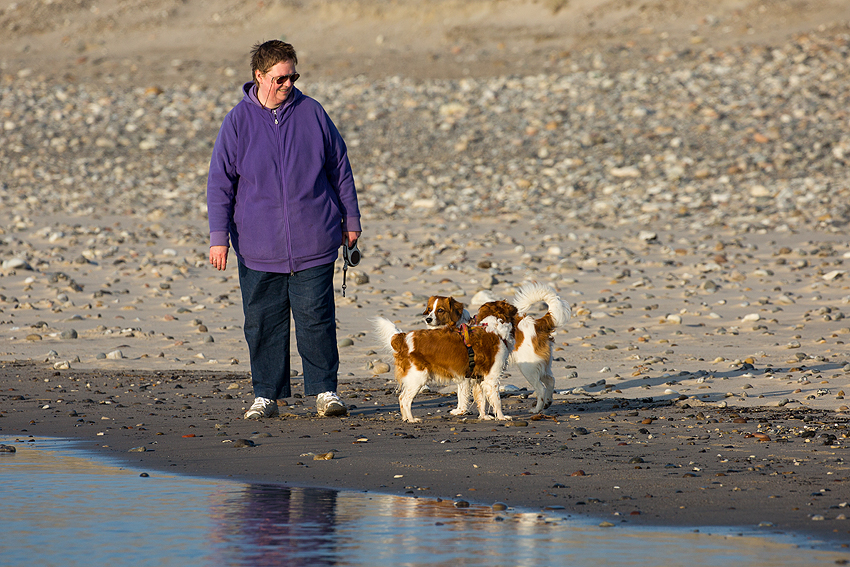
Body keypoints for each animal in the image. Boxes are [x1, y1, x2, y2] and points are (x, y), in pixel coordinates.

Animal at [374, 316, 512, 422]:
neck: (497, 332)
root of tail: (403, 338)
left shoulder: (478, 379)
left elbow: (480, 401)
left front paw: (484, 417)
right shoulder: (491, 379)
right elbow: (497, 401)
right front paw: (502, 417)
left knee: (402, 399)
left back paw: (405, 418)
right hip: (418, 378)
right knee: (404, 399)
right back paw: (412, 420)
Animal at [476, 282, 568, 412]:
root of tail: (536, 324)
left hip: (528, 368)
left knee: (541, 388)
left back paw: (536, 409)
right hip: (540, 366)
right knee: (550, 380)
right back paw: (547, 403)